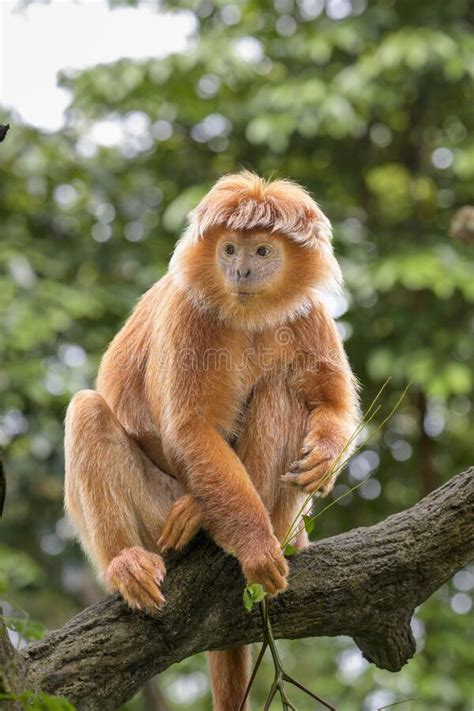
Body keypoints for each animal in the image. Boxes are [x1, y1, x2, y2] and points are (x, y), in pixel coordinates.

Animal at [64, 172, 360, 711]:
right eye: (228, 248)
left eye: (261, 250)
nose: (240, 269)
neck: (248, 316)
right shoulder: (189, 312)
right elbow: (189, 431)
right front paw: (256, 547)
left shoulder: (308, 312)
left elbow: (332, 405)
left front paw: (325, 458)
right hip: (154, 516)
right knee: (88, 412)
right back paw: (135, 559)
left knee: (281, 390)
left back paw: (273, 531)